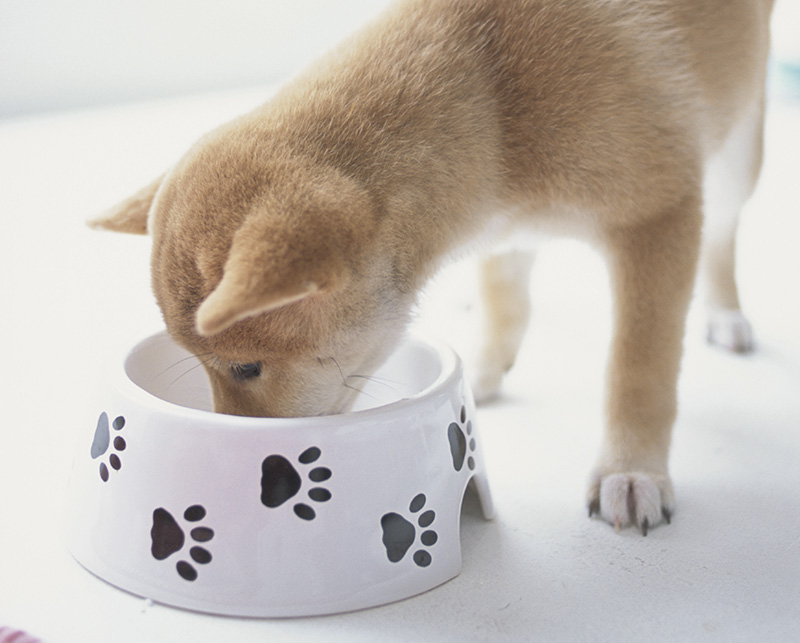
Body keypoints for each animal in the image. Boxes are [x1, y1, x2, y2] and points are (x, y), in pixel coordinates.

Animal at [92, 0, 776, 532]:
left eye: (245, 367)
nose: (247, 462)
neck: (495, 104)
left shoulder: (657, 216)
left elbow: (639, 369)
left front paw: (631, 468)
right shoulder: (504, 227)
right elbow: (508, 301)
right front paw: (485, 366)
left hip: (735, 159)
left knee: (722, 238)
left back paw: (726, 313)